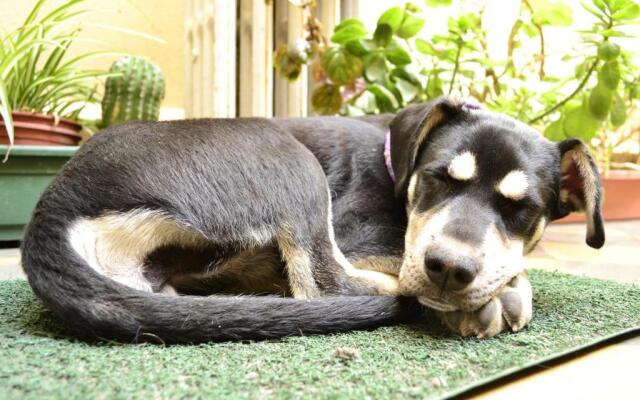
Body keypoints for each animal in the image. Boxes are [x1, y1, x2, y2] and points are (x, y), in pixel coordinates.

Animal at [20, 97, 604, 344]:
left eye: (521, 210)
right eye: (438, 178)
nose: (448, 270)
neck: (398, 165)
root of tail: (50, 214)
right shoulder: (369, 239)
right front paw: (501, 293)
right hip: (287, 156)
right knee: (326, 285)